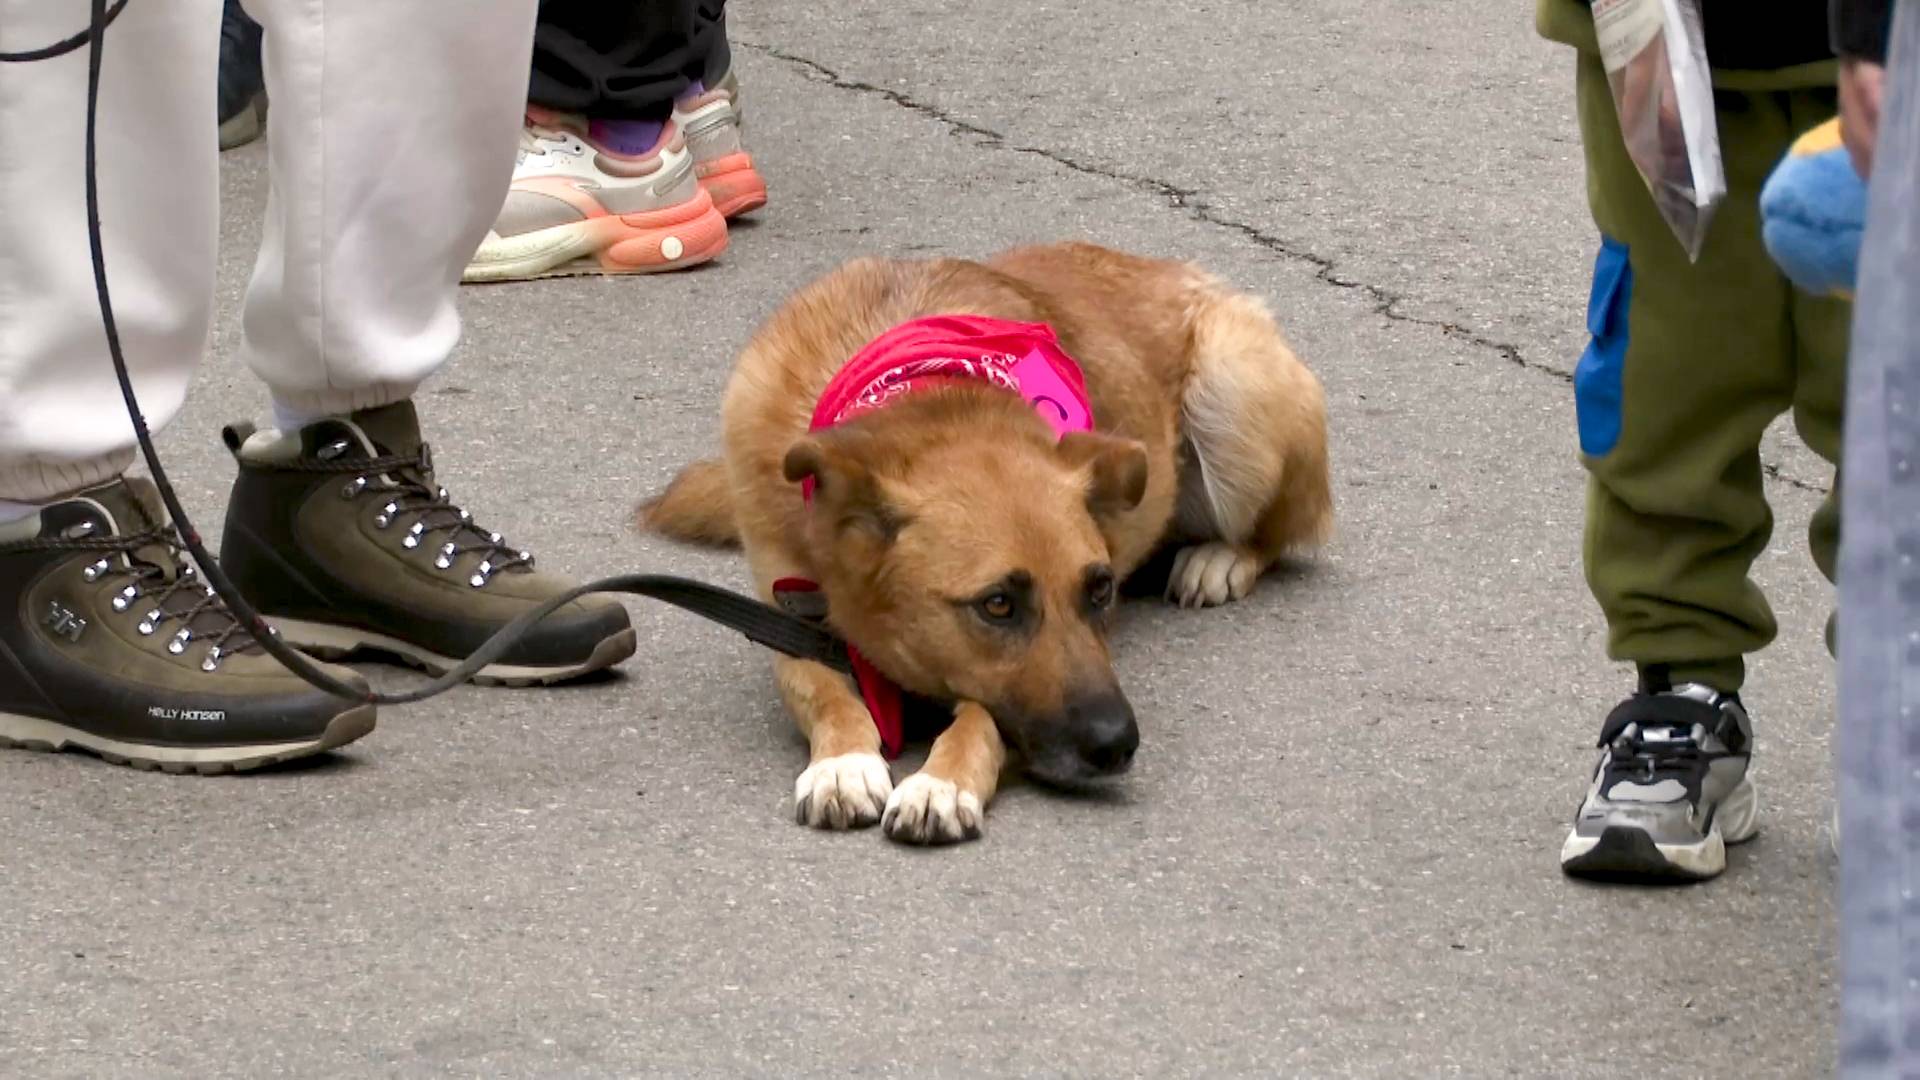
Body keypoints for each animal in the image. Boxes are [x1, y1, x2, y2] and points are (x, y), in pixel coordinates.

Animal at [640, 241, 1331, 844]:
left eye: (1100, 589)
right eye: (997, 604)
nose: (1118, 745)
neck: (931, 396)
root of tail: (1180, 271)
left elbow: (981, 717)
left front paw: (942, 783)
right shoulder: (786, 617)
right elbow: (821, 687)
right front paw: (844, 760)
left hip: (1233, 384)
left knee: (1281, 530)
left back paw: (1222, 557)